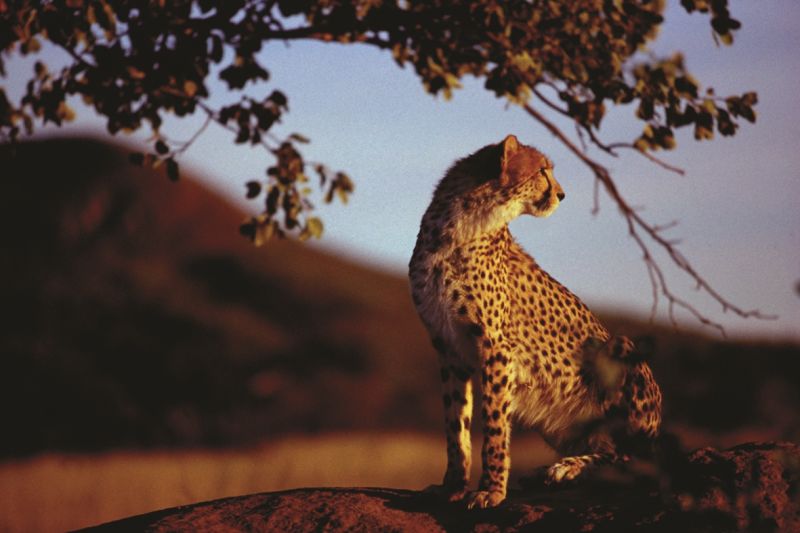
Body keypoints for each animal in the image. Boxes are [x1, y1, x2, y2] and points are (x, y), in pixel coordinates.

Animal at [410, 134, 660, 508]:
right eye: (542, 171)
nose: (562, 194)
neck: (463, 222)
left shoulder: (495, 345)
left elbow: (495, 424)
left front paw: (491, 490)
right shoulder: (448, 345)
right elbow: (456, 424)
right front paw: (452, 486)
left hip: (620, 349)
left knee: (628, 460)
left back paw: (564, 469)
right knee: (609, 450)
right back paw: (546, 473)